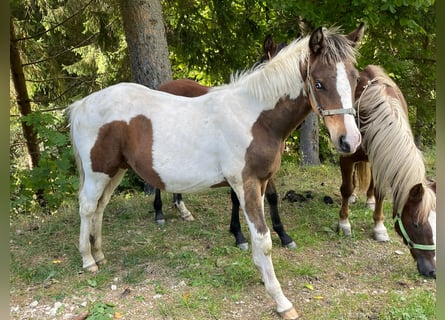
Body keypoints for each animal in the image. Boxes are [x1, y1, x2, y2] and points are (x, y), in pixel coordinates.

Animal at [67, 24, 362, 318]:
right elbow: (263, 240)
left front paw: (262, 273)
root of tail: (81, 105)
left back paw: (99, 253)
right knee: (87, 207)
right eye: (319, 83)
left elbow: (259, 236)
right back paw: (88, 260)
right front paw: (281, 301)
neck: (255, 118)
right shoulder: (246, 184)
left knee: (100, 207)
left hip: (114, 171)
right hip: (97, 172)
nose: (349, 140)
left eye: (355, 79)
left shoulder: (261, 184)